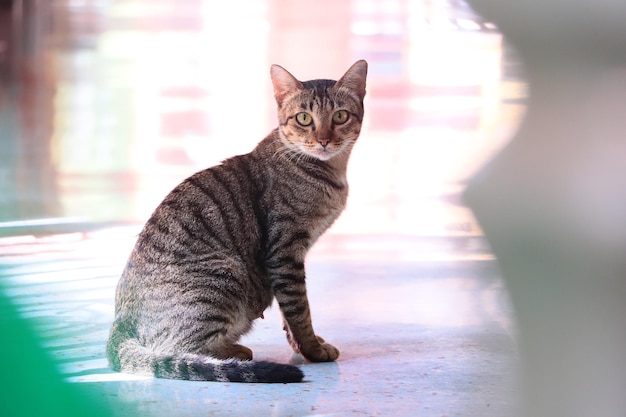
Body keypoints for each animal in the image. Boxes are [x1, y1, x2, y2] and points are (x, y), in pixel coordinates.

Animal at [106, 60, 366, 382]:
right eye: (304, 118)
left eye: (340, 116)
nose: (324, 140)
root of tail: (119, 324)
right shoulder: (284, 252)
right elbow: (299, 310)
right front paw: (312, 350)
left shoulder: (286, 262)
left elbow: (288, 315)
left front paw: (304, 345)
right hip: (226, 275)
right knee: (180, 350)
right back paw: (235, 353)